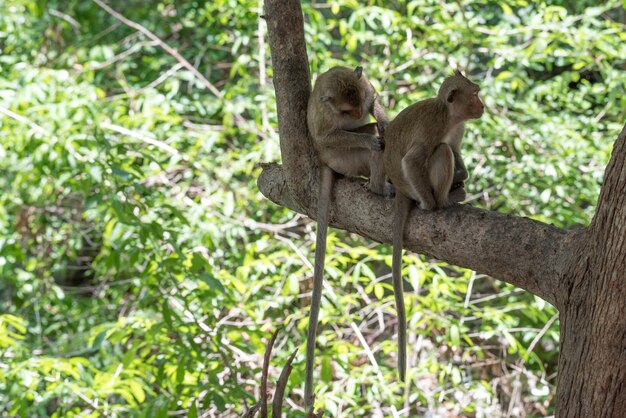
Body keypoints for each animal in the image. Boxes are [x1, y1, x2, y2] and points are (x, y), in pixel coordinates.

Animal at [380, 71, 482, 382]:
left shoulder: (459, 128)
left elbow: (457, 149)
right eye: (475, 94)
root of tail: (401, 190)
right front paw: (431, 205)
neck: (450, 116)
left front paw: (464, 175)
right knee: (441, 152)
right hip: (413, 183)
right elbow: (415, 158)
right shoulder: (434, 127)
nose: (482, 105)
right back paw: (444, 201)